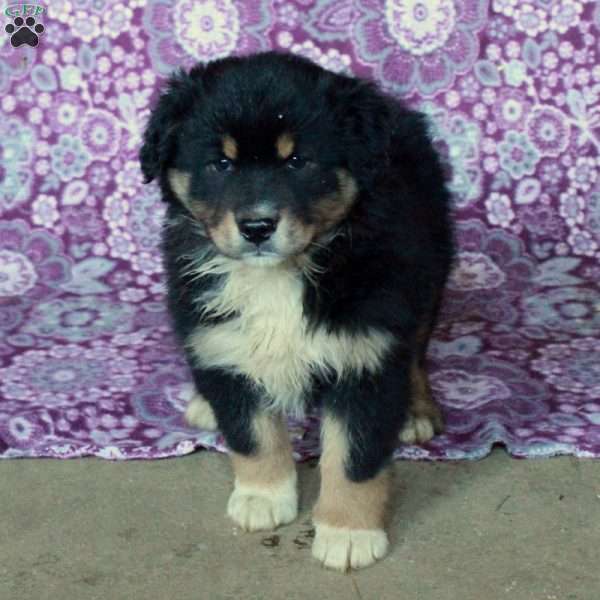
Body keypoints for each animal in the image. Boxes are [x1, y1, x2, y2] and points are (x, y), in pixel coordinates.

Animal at [139, 51, 450, 572]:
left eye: (298, 161)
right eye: (221, 163)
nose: (257, 226)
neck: (281, 276)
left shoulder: (365, 354)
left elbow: (353, 456)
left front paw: (348, 533)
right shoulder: (220, 336)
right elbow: (252, 433)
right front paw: (262, 497)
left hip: (431, 272)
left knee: (416, 349)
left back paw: (416, 410)